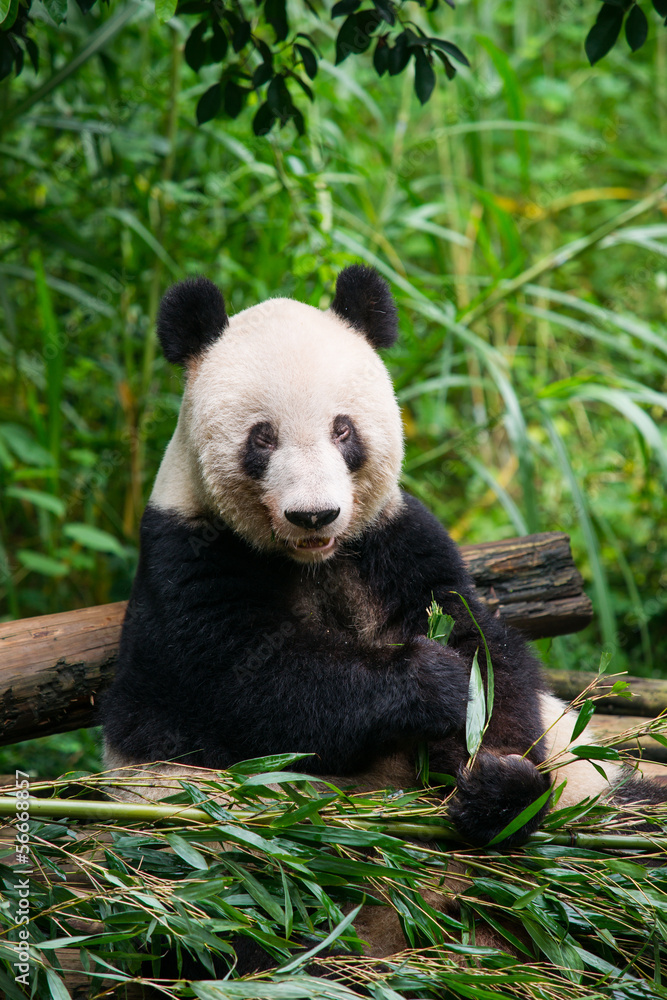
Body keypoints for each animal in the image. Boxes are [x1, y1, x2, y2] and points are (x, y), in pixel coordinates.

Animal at [102, 265, 665, 851]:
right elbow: (243, 686)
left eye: (342, 428)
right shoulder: (185, 556)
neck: (314, 560)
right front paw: (434, 682)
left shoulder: (393, 541)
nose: (314, 515)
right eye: (263, 438)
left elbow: (487, 655)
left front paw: (498, 786)